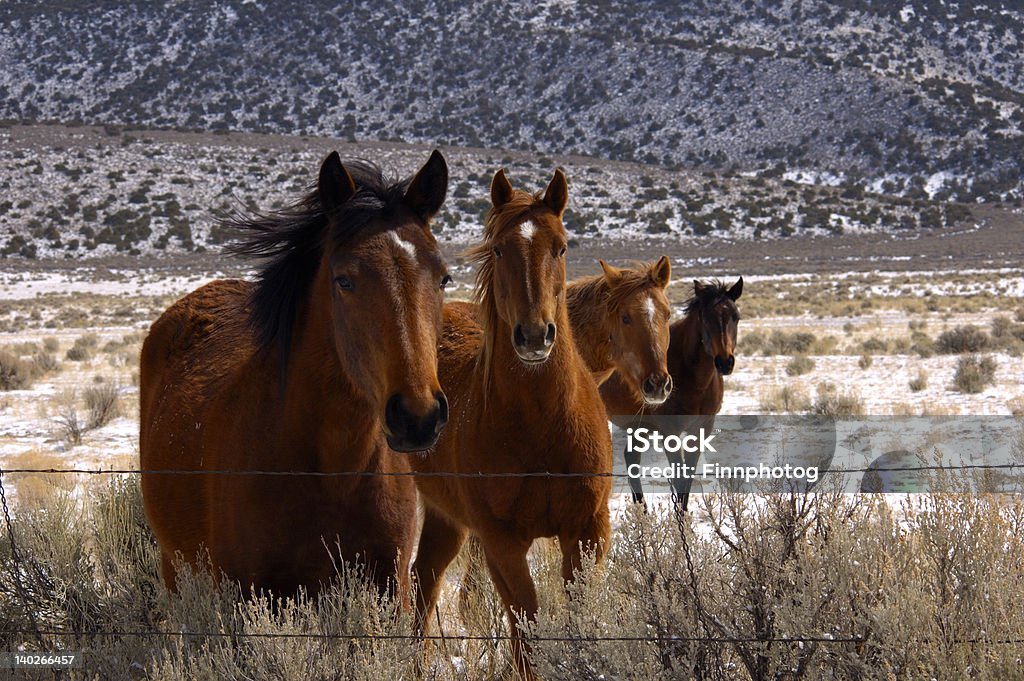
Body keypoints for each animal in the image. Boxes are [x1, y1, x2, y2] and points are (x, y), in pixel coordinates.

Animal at [138, 150, 450, 602]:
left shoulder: (393, 589)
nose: (418, 416)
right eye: (344, 280)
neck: (335, 470)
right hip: (176, 568)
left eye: (444, 278)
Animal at [409, 166, 614, 675]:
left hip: (445, 515)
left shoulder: (588, 532)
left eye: (561, 246)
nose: (535, 335)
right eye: (500, 249)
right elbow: (526, 632)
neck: (542, 425)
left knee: (425, 577)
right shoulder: (501, 543)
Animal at [602, 276, 741, 509]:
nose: (724, 362)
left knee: (632, 460)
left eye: (736, 317)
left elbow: (687, 479)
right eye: (705, 318)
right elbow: (679, 478)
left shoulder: (700, 429)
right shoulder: (670, 432)